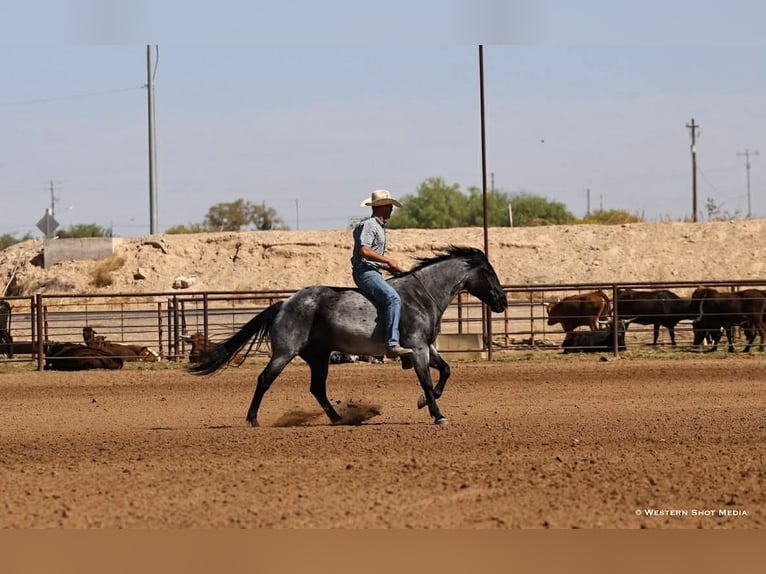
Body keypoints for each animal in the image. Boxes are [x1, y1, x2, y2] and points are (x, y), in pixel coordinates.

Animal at [189, 246, 508, 426]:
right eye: (490, 272)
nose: (503, 302)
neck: (421, 295)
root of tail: (285, 303)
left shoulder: (428, 348)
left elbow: (446, 370)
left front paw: (423, 403)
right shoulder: (417, 348)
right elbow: (428, 381)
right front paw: (437, 414)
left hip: (318, 357)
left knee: (317, 389)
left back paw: (338, 418)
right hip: (285, 353)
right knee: (265, 379)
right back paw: (253, 419)